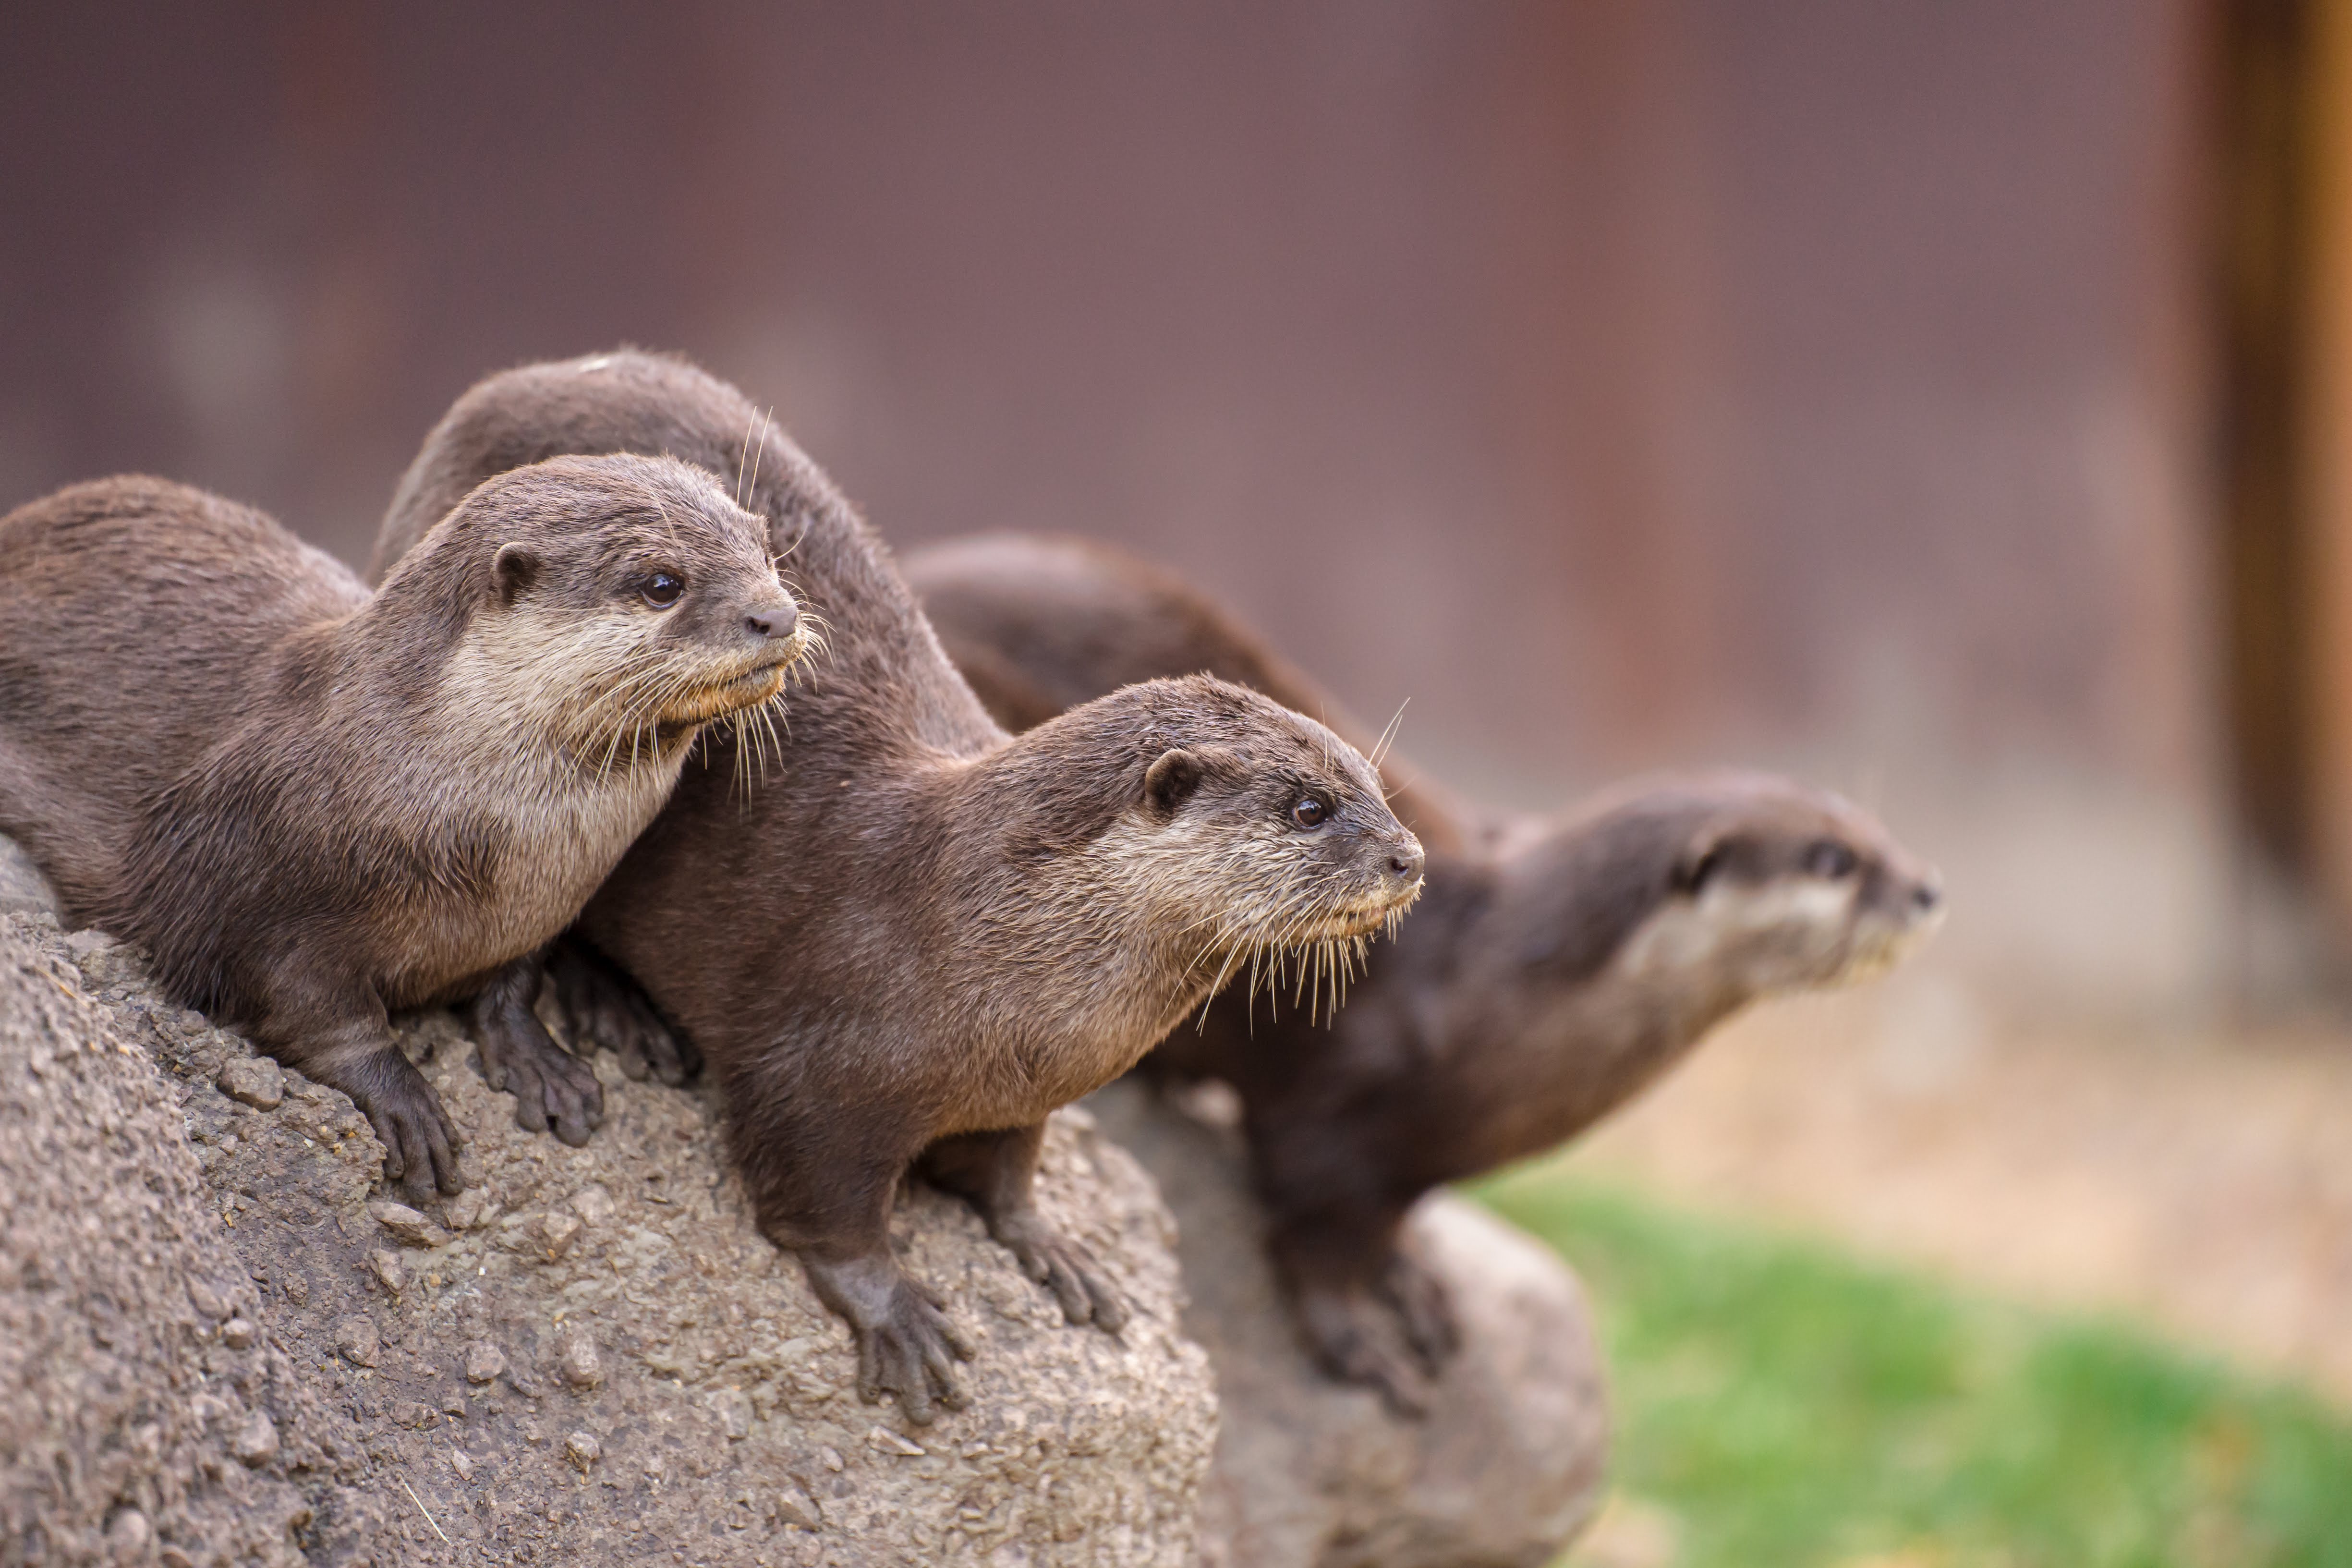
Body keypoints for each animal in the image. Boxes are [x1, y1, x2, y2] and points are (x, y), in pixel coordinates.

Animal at [0, 461, 809, 1194]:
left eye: (763, 547)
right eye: (662, 583)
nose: (777, 615)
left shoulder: (535, 910)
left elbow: (514, 980)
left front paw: (537, 1059)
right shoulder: (253, 893)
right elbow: (313, 1010)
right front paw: (403, 1105)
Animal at [376, 352, 1420, 1420]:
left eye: (1372, 785)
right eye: (1307, 807)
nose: (1408, 857)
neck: (980, 927)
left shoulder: (1030, 1089)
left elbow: (1010, 1166)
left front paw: (1050, 1243)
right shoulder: (815, 1068)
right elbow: (819, 1204)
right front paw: (894, 1310)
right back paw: (615, 1014)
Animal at [908, 534, 1938, 1420]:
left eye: (1871, 830)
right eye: (1833, 863)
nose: (1926, 887)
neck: (1495, 987)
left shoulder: (1415, 1151)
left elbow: (1386, 1220)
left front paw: (1406, 1272)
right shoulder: (1328, 1114)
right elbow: (1306, 1231)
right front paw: (1355, 1339)